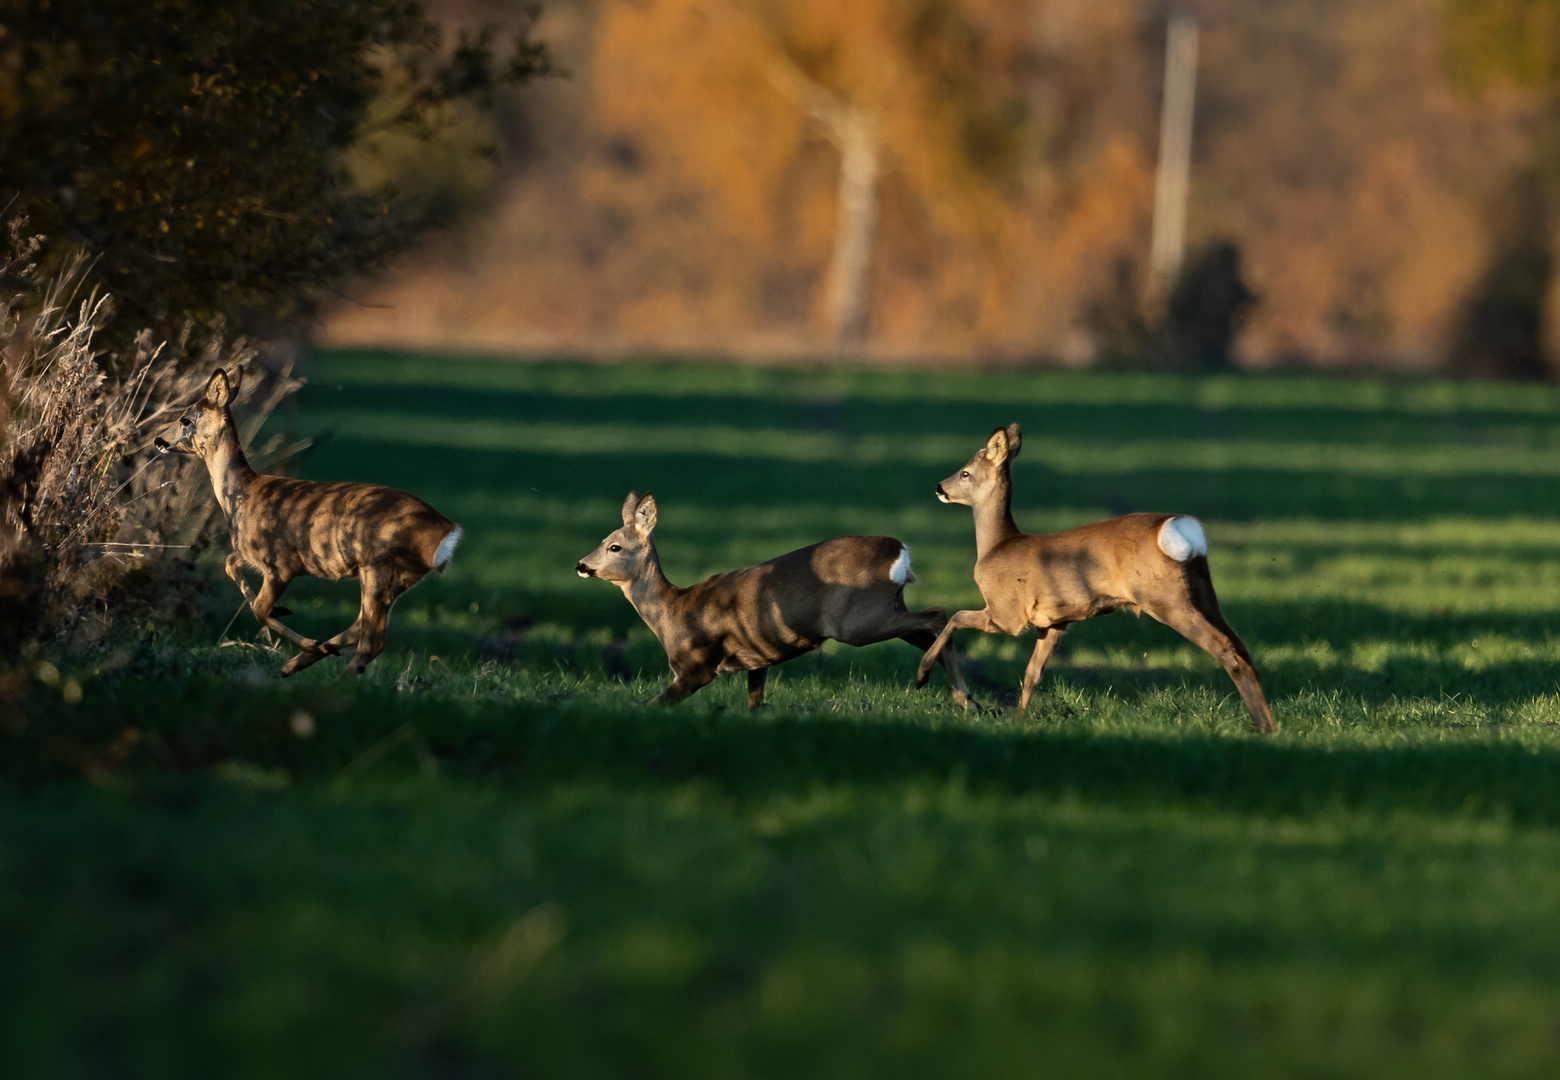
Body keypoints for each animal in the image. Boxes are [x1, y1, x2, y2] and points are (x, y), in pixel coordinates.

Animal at [156, 369, 458, 674]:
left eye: (186, 419)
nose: (159, 440)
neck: (245, 492)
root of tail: (447, 531)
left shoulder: (282, 563)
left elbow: (259, 610)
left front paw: (297, 631)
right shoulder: (248, 553)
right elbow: (230, 565)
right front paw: (288, 619)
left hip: (381, 567)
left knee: (372, 640)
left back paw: (323, 665)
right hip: (390, 575)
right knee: (362, 627)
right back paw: (302, 661)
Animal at [574, 490, 967, 708]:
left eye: (614, 546)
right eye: (603, 540)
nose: (581, 565)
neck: (672, 611)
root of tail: (900, 550)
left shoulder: (696, 667)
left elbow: (654, 707)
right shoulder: (757, 661)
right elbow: (754, 705)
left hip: (858, 621)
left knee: (937, 613)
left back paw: (937, 684)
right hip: (885, 609)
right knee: (931, 627)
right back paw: (968, 701)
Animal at [917, 424, 1272, 733]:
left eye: (965, 472)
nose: (939, 488)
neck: (996, 547)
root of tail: (1180, 527)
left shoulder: (1007, 615)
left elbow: (954, 617)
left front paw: (925, 676)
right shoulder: (1055, 624)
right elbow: (1032, 673)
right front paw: (1018, 720)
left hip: (1167, 600)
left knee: (1225, 649)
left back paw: (1262, 725)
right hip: (1203, 592)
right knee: (1242, 647)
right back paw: (1269, 725)